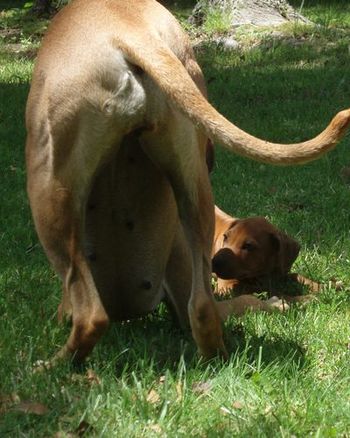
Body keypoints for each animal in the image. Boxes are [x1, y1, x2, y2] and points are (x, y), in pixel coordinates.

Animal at [26, 0, 350, 364]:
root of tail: (128, 30)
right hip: (193, 182)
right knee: (203, 306)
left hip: (47, 192)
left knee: (91, 316)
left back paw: (53, 366)